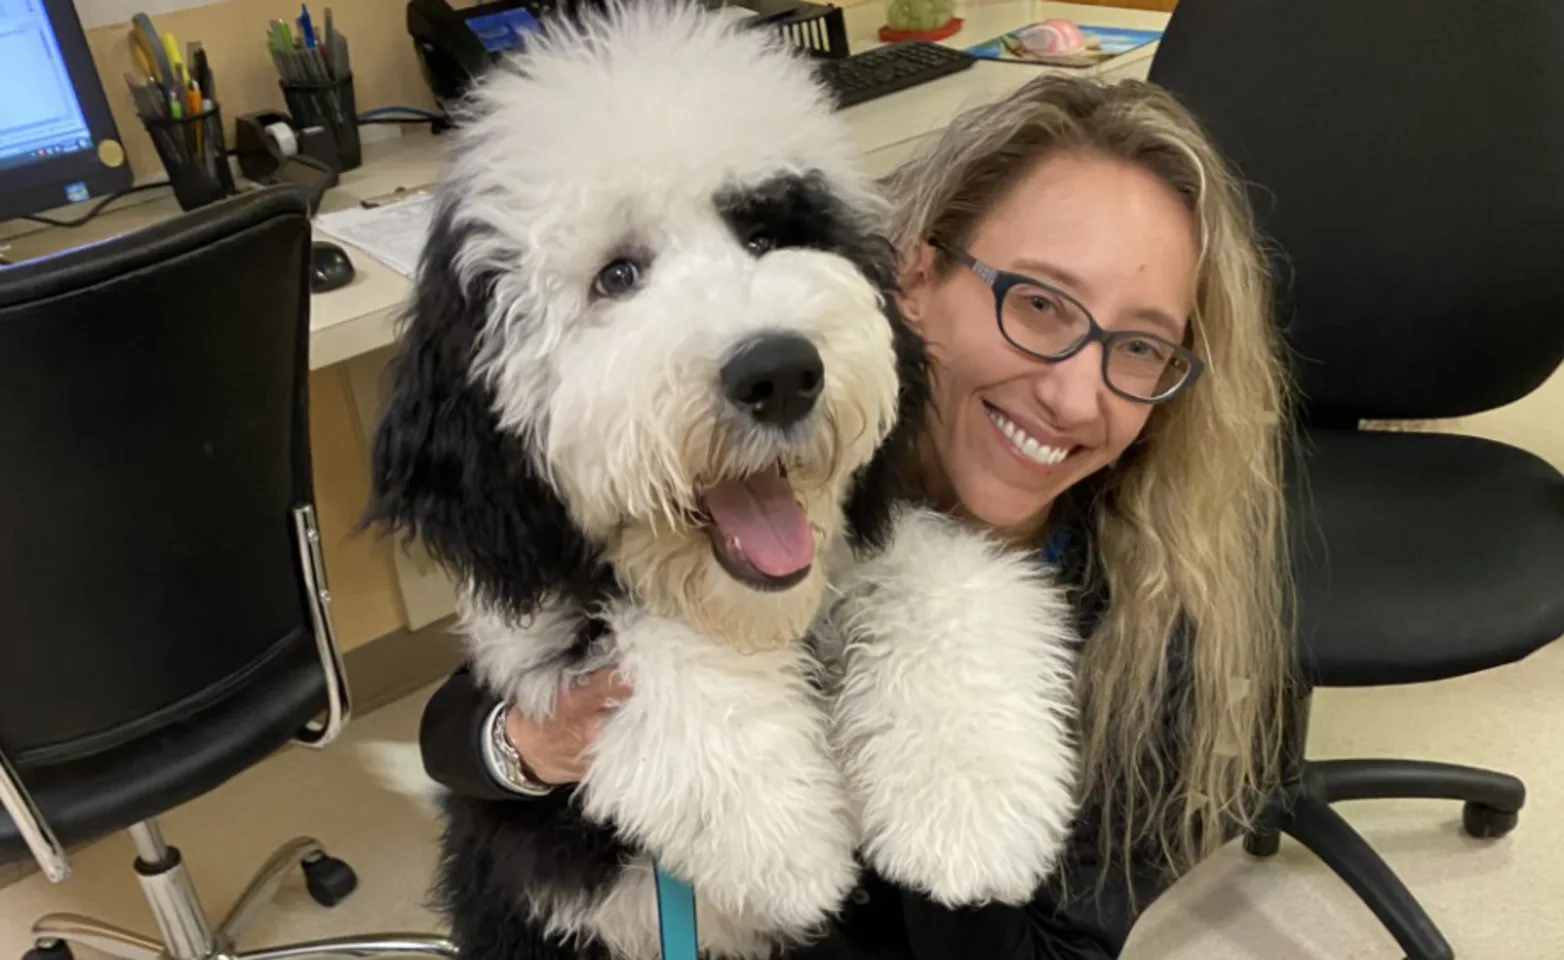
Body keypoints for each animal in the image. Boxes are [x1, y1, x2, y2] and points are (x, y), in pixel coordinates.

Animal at [364, 1, 1076, 960]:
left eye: (767, 232)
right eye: (617, 276)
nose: (779, 372)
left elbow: (942, 575)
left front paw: (967, 806)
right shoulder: (535, 635)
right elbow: (646, 649)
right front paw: (784, 837)